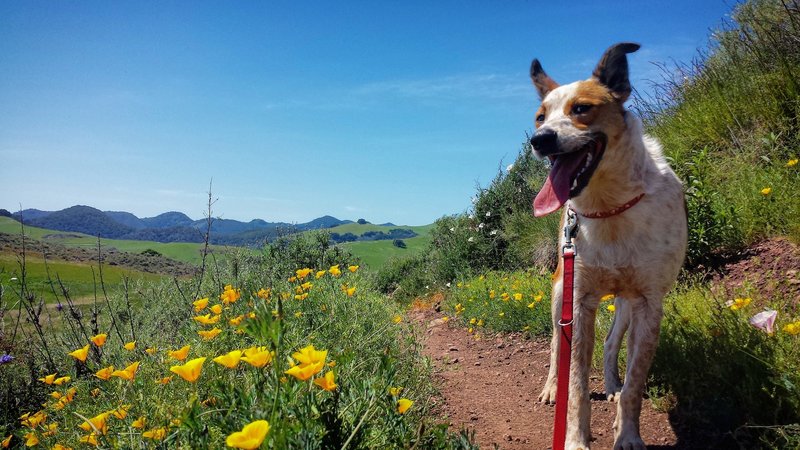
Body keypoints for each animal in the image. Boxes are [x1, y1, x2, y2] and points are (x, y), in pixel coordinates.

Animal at [532, 43, 688, 450]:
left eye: (581, 108)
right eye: (540, 117)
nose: (540, 140)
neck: (610, 205)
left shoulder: (649, 304)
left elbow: (635, 384)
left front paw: (628, 435)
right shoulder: (579, 300)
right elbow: (576, 382)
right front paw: (575, 439)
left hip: (625, 303)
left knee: (610, 342)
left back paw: (612, 383)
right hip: (560, 290)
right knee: (555, 346)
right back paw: (551, 387)